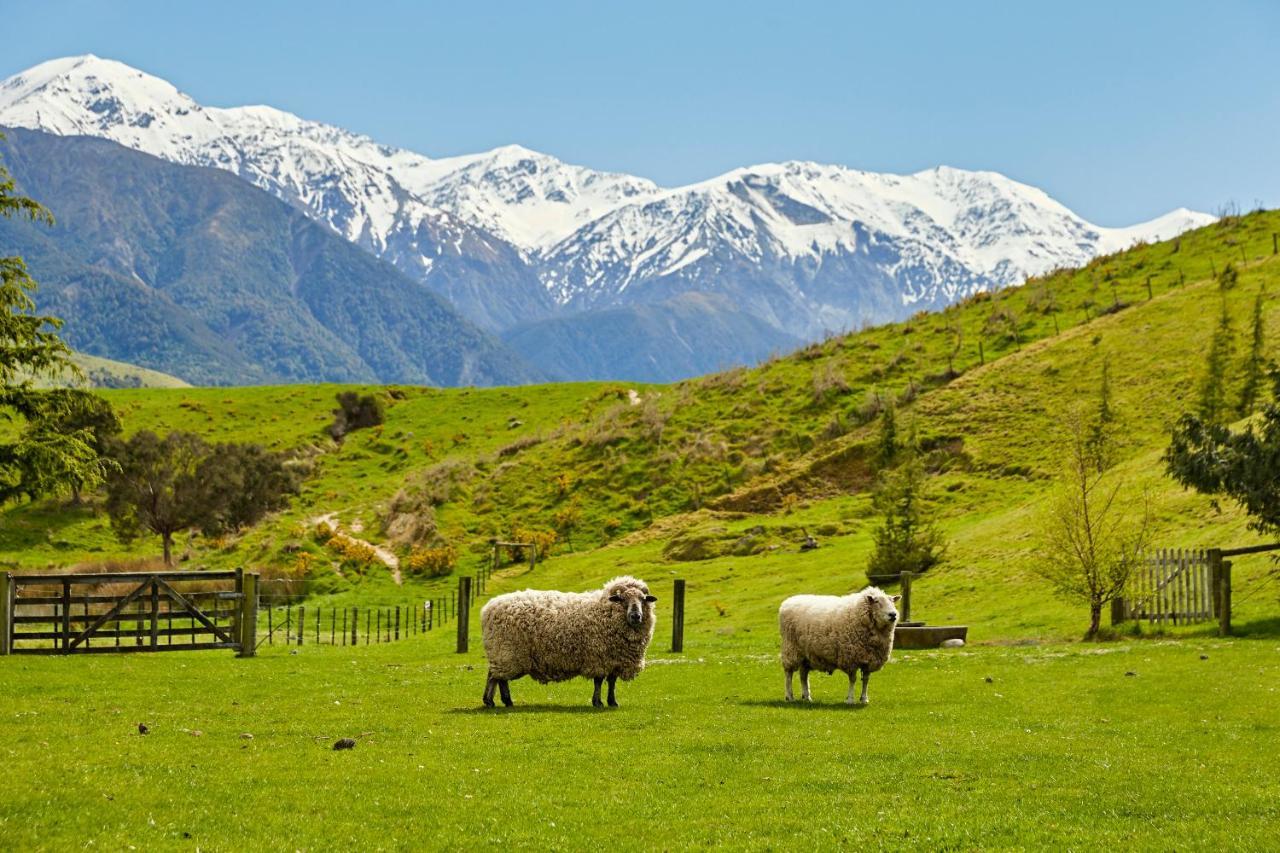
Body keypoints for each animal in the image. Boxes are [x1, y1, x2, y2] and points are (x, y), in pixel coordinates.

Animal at [481, 573, 660, 706]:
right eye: (622, 599)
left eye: (643, 599)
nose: (636, 616)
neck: (605, 612)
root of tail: (488, 608)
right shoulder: (598, 657)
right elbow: (598, 681)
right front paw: (598, 702)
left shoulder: (615, 660)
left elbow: (612, 682)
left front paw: (612, 702)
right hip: (505, 652)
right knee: (497, 677)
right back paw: (498, 701)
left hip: (502, 653)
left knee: (496, 676)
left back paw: (498, 701)